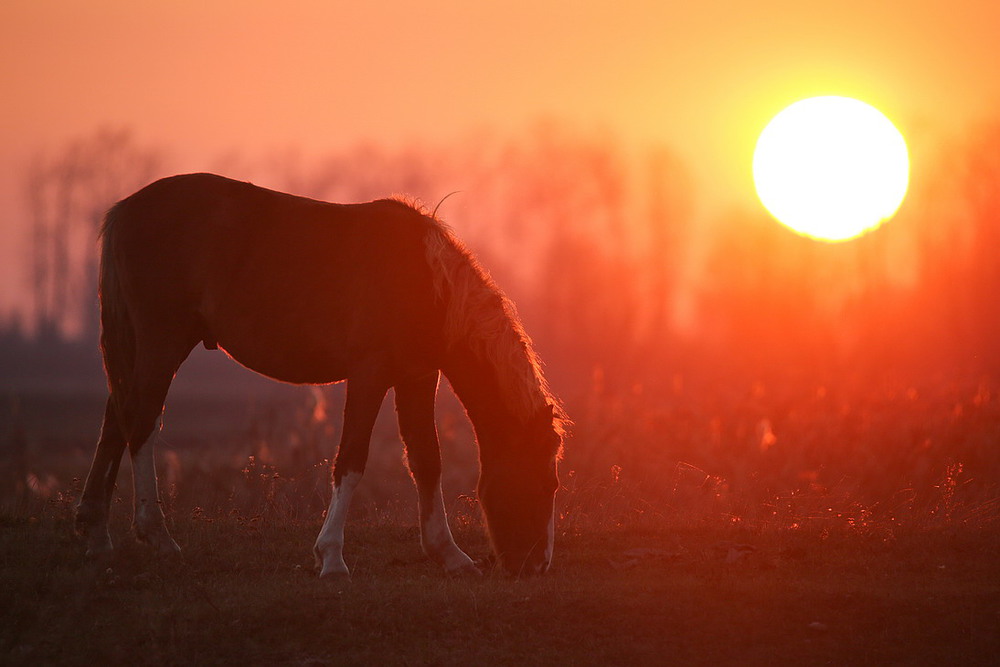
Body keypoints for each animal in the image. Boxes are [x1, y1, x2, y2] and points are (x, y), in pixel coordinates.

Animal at [74, 174, 568, 580]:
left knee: (116, 420)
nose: (537, 566)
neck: (426, 281)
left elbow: (427, 460)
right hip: (164, 341)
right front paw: (331, 557)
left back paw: (96, 536)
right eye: (549, 484)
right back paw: (156, 536)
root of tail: (124, 210)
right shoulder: (369, 374)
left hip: (142, 346)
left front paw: (448, 554)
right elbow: (351, 459)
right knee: (140, 423)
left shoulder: (417, 377)